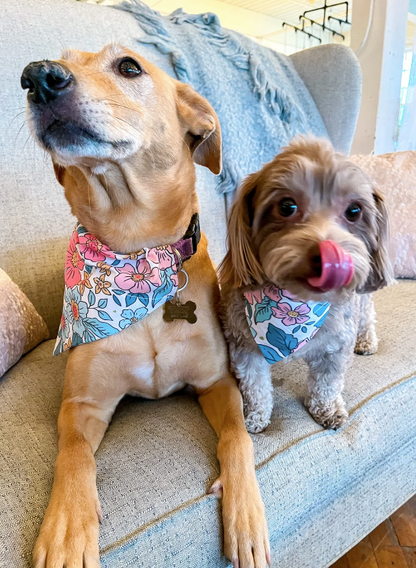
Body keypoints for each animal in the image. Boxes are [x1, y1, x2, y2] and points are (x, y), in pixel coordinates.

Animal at [21, 43, 270, 568]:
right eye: (60, 58)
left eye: (129, 66)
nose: (37, 77)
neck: (137, 250)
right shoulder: (82, 403)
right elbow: (74, 455)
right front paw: (67, 527)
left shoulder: (217, 382)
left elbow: (238, 436)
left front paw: (246, 515)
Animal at [219, 138, 392, 434]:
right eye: (286, 206)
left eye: (354, 211)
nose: (329, 256)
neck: (295, 303)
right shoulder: (244, 345)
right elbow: (255, 385)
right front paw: (255, 416)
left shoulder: (336, 346)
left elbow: (327, 384)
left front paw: (327, 409)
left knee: (367, 313)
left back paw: (367, 339)